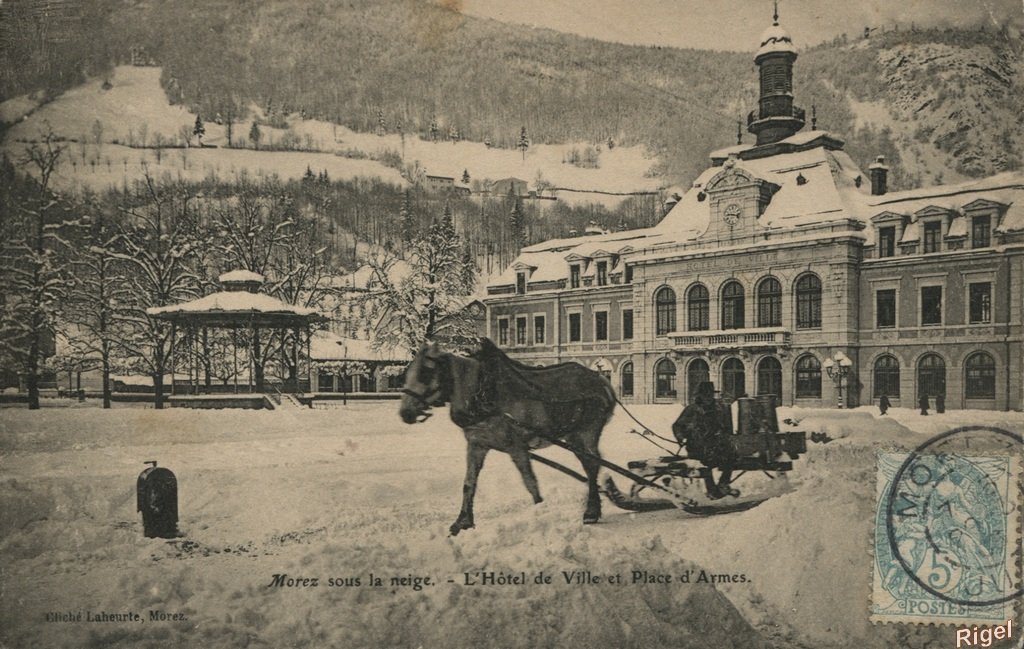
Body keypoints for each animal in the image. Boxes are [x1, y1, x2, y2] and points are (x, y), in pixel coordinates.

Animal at [399, 335, 614, 532]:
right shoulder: (477, 444)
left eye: (425, 372)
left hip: (586, 432)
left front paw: (539, 511)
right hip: (573, 436)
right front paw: (462, 521)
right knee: (591, 464)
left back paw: (591, 511)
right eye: (407, 372)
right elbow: (469, 483)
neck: (483, 393)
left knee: (591, 466)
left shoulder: (517, 446)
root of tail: (601, 380)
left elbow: (530, 481)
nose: (405, 413)